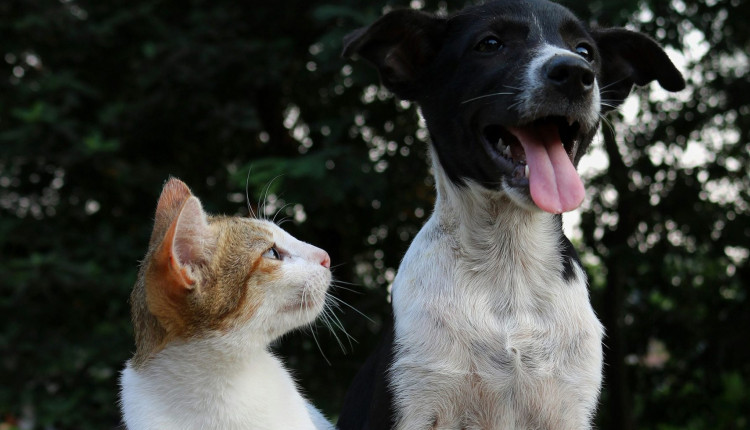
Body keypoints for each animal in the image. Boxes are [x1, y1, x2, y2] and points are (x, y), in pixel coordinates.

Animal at [340, 1, 688, 428]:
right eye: (490, 44)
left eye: (586, 51)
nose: (574, 73)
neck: (509, 267)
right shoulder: (416, 398)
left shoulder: (569, 408)